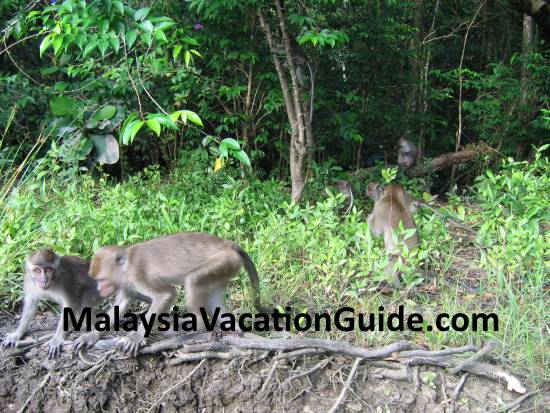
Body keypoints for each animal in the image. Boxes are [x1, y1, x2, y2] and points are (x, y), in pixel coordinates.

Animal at [74, 232, 270, 354]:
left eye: (101, 280)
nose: (100, 289)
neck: (126, 266)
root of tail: (229, 244)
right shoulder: (125, 283)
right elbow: (122, 304)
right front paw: (91, 335)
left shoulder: (138, 274)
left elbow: (166, 294)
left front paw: (137, 336)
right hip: (228, 267)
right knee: (212, 298)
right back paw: (231, 328)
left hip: (223, 261)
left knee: (192, 281)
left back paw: (193, 326)